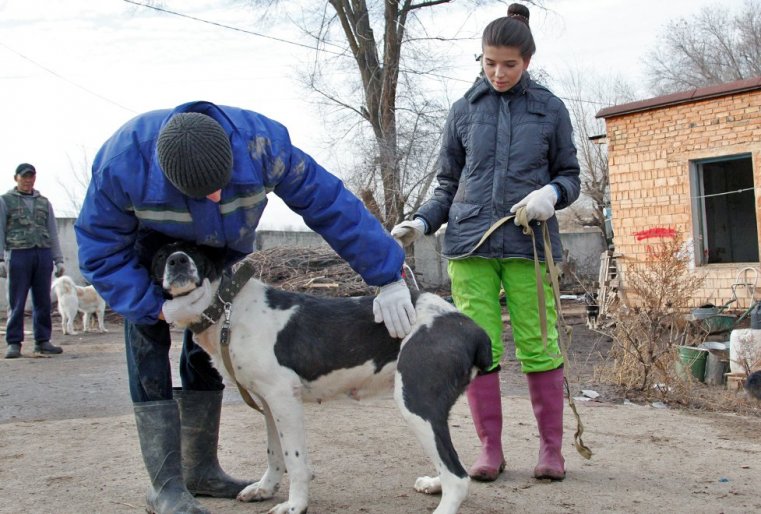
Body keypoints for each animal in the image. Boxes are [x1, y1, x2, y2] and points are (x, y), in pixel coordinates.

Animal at [151, 241, 490, 512]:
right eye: (160, 253)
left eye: (196, 252)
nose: (178, 260)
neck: (229, 309)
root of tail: (473, 329)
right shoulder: (268, 402)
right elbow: (274, 453)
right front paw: (265, 488)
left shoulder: (283, 397)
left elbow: (296, 461)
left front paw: (294, 506)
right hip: (430, 409)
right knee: (449, 462)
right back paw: (435, 483)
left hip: (416, 401)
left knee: (458, 477)